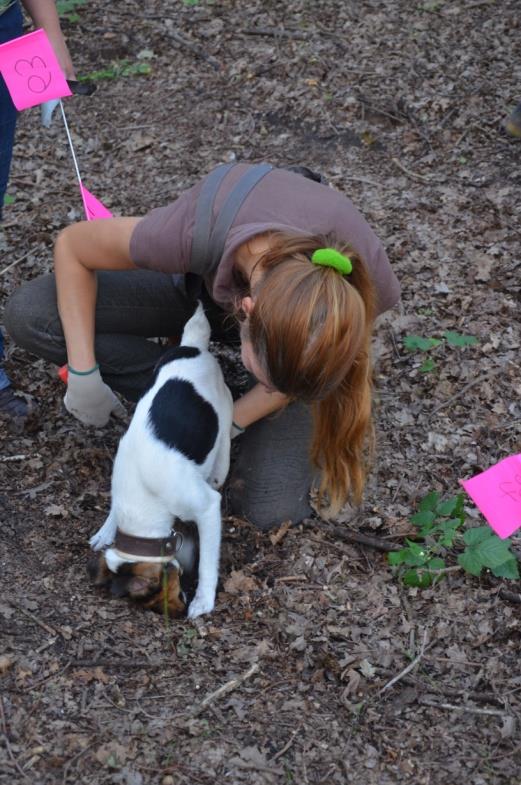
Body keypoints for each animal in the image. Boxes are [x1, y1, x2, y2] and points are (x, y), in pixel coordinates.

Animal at [90, 302, 233, 620]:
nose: (178, 614)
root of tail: (192, 346)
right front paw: (107, 529)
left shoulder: (207, 507)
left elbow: (207, 563)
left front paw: (203, 600)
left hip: (223, 402)